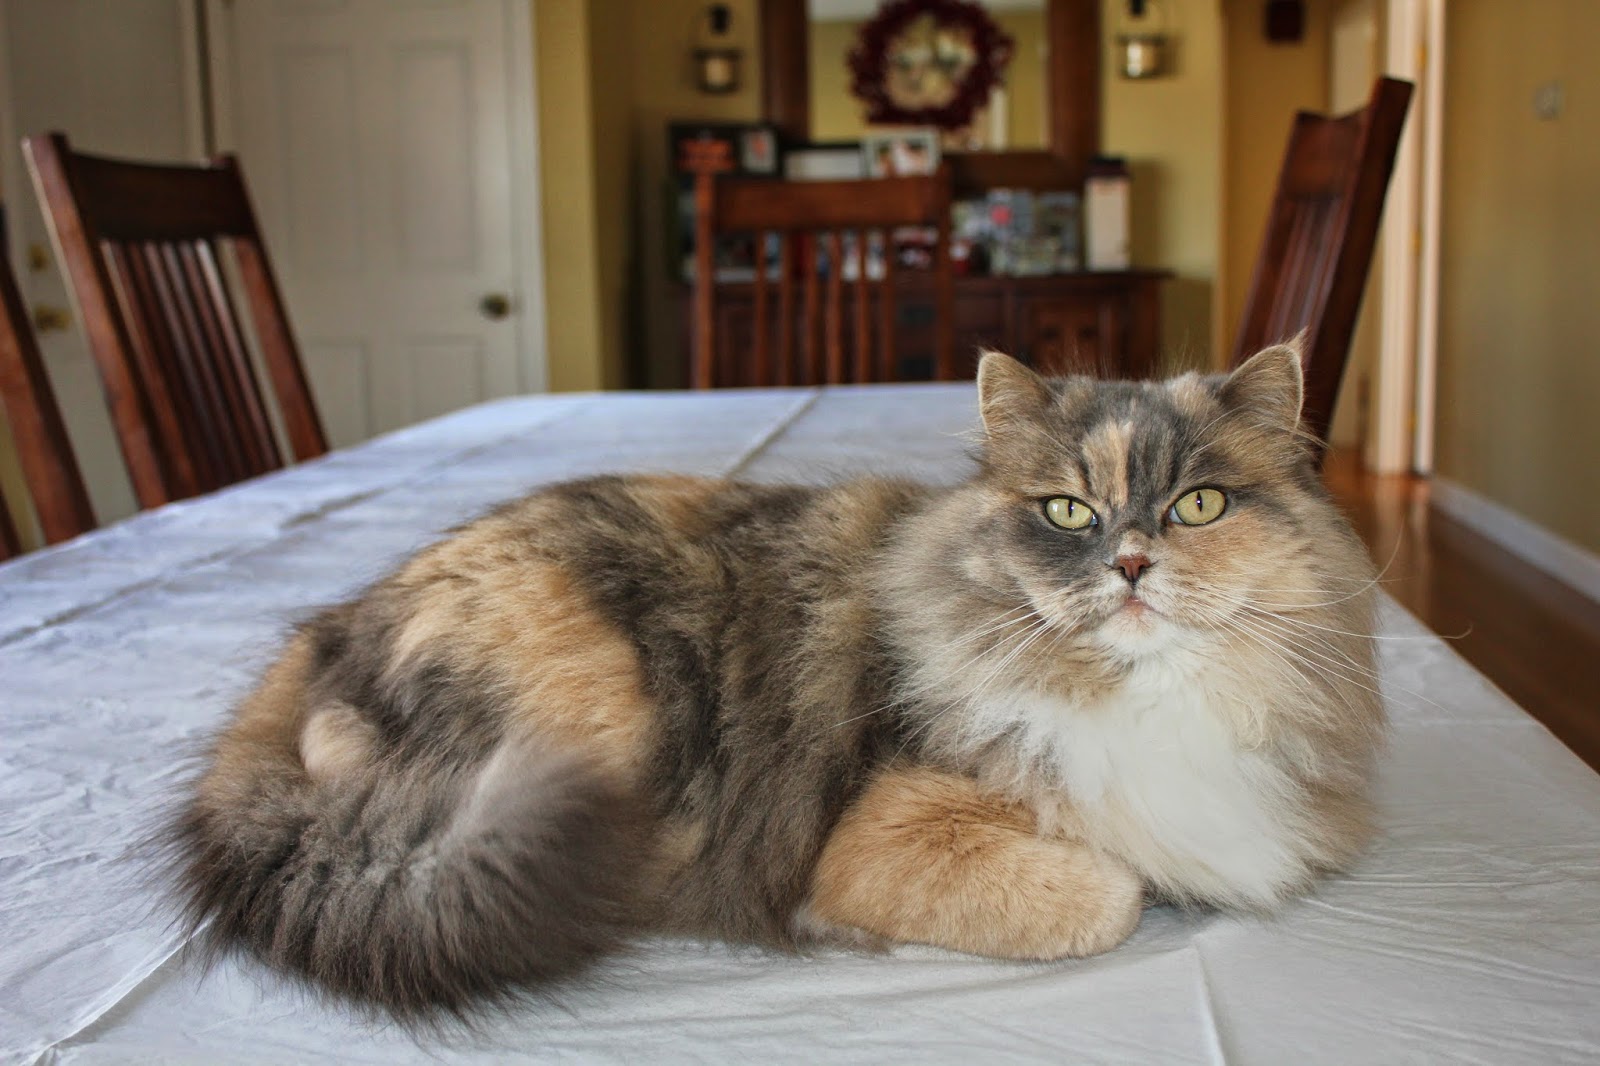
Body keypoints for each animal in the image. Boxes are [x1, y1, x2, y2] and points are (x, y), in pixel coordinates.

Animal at [168, 344, 1382, 1017]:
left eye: (1198, 506)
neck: (1146, 696)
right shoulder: (880, 835)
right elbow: (1108, 890)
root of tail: (333, 622)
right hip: (595, 710)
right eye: (1068, 512)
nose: (1130, 565)